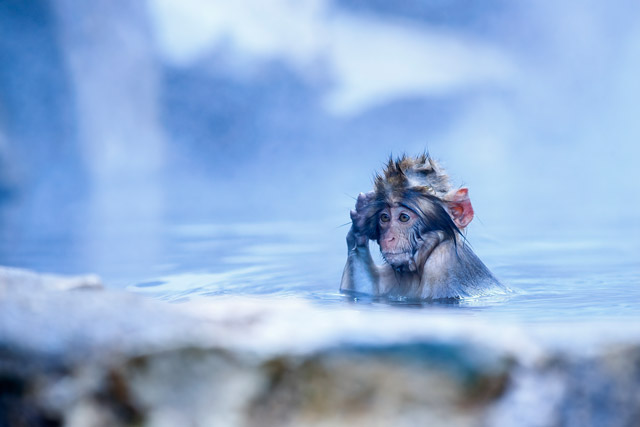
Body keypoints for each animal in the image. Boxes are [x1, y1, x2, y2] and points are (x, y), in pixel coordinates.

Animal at [340, 153, 504, 300]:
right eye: (384, 217)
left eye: (404, 217)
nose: (388, 238)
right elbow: (363, 288)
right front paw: (358, 227)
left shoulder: (441, 265)